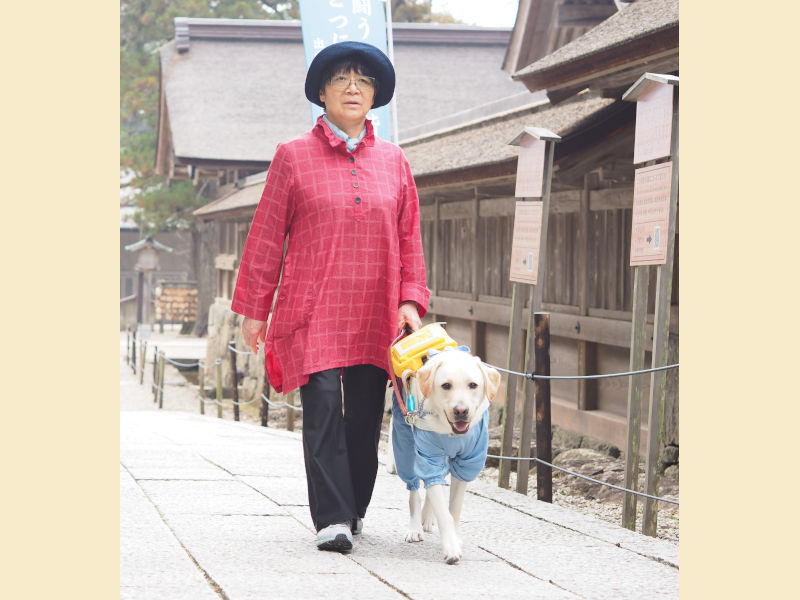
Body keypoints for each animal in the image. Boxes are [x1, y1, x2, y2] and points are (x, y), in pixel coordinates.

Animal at [390, 346, 500, 564]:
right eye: (446, 385)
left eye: (473, 385)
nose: (461, 410)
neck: (450, 431)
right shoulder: (428, 456)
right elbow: (442, 509)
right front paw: (450, 547)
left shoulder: (467, 461)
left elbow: (454, 508)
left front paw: (455, 537)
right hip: (404, 441)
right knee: (414, 487)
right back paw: (415, 527)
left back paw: (426, 518)